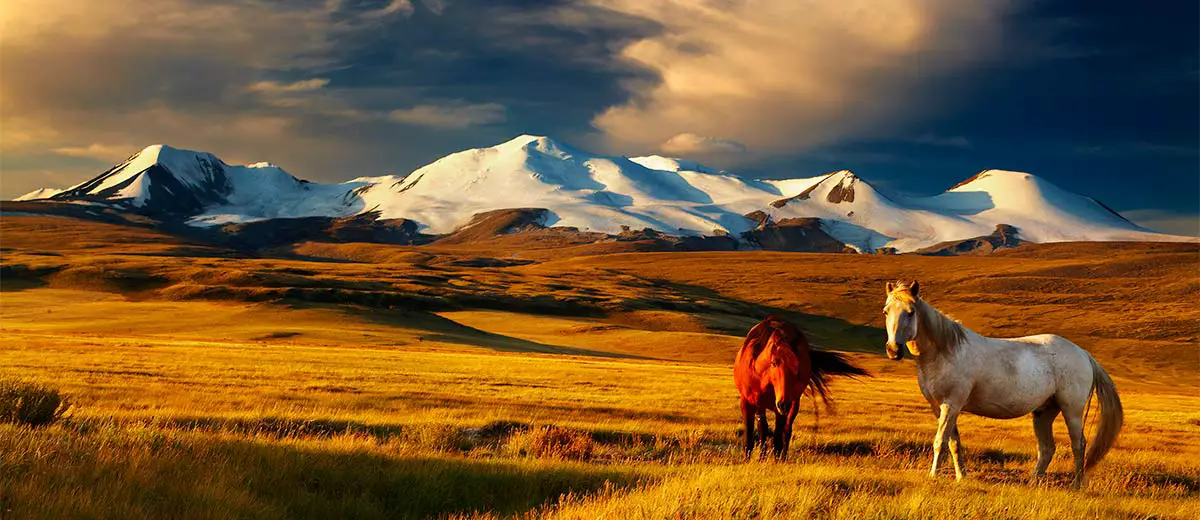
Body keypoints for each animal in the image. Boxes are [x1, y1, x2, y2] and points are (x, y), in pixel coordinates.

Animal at [734, 317, 868, 458]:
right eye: (773, 363)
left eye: (797, 365)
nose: (783, 404)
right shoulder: (747, 403)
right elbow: (749, 439)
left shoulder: (780, 410)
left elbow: (777, 441)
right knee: (763, 427)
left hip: (793, 404)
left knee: (786, 431)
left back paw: (782, 458)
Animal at [883, 279, 1123, 485]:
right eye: (886, 311)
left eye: (911, 312)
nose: (893, 350)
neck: (946, 352)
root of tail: (1083, 354)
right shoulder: (940, 407)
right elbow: (953, 443)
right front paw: (961, 476)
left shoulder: (951, 405)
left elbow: (939, 441)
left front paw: (933, 475)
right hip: (1044, 412)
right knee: (1047, 448)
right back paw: (1033, 482)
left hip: (1071, 410)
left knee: (1078, 444)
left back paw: (1076, 484)